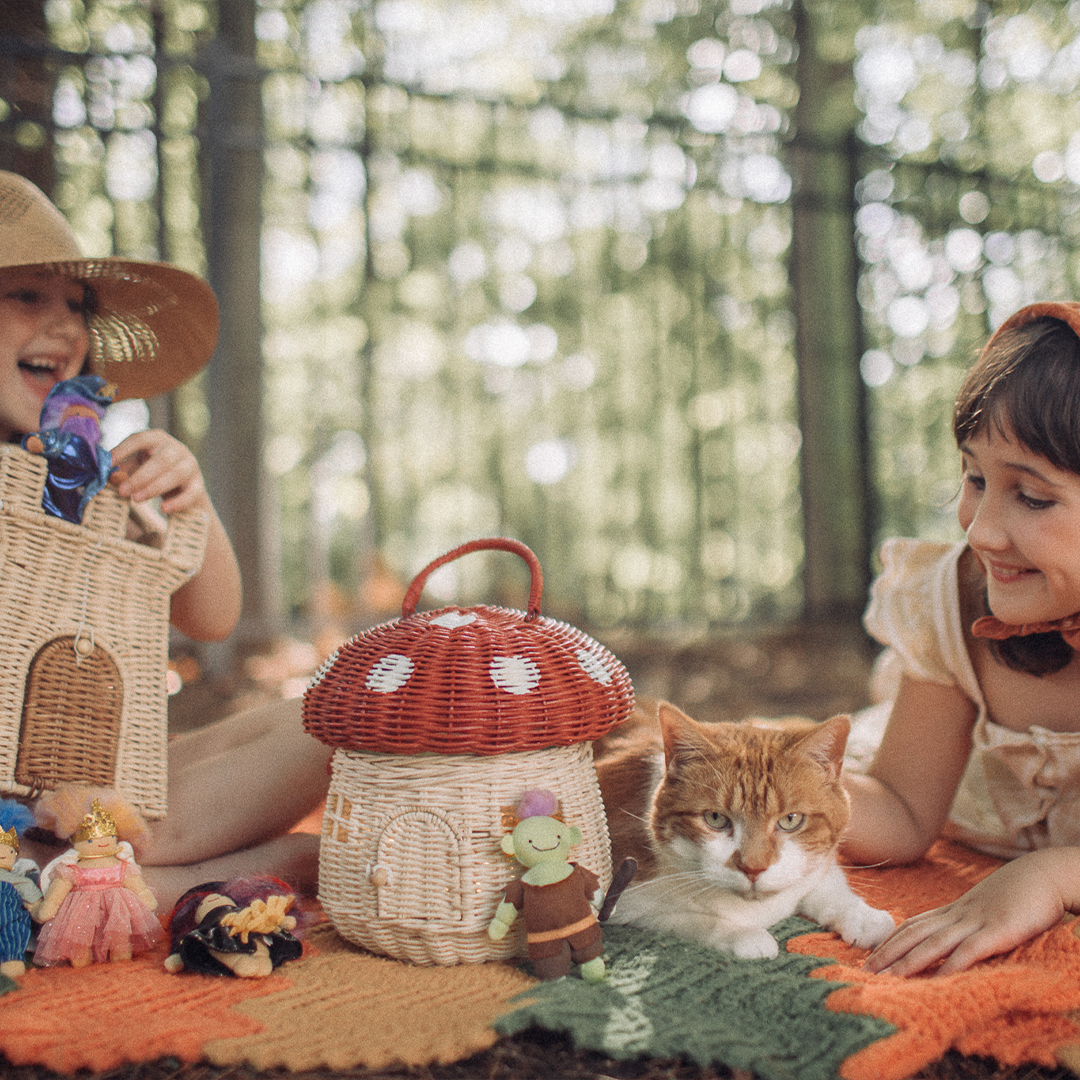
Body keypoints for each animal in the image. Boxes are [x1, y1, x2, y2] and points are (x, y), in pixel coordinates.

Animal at [596, 704, 889, 959]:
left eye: (790, 820)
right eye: (715, 819)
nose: (753, 868)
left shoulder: (817, 866)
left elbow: (826, 884)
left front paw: (863, 916)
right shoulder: (623, 901)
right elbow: (684, 918)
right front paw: (744, 935)